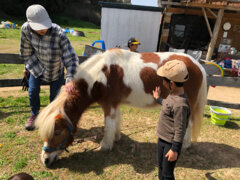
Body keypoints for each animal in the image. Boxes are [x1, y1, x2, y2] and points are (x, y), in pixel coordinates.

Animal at [34, 48, 207, 167]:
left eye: (57, 132)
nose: (45, 160)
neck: (100, 76)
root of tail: (197, 65)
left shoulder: (108, 104)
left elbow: (108, 125)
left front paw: (105, 145)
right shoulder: (115, 104)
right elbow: (116, 121)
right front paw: (116, 138)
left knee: (188, 124)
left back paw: (184, 146)